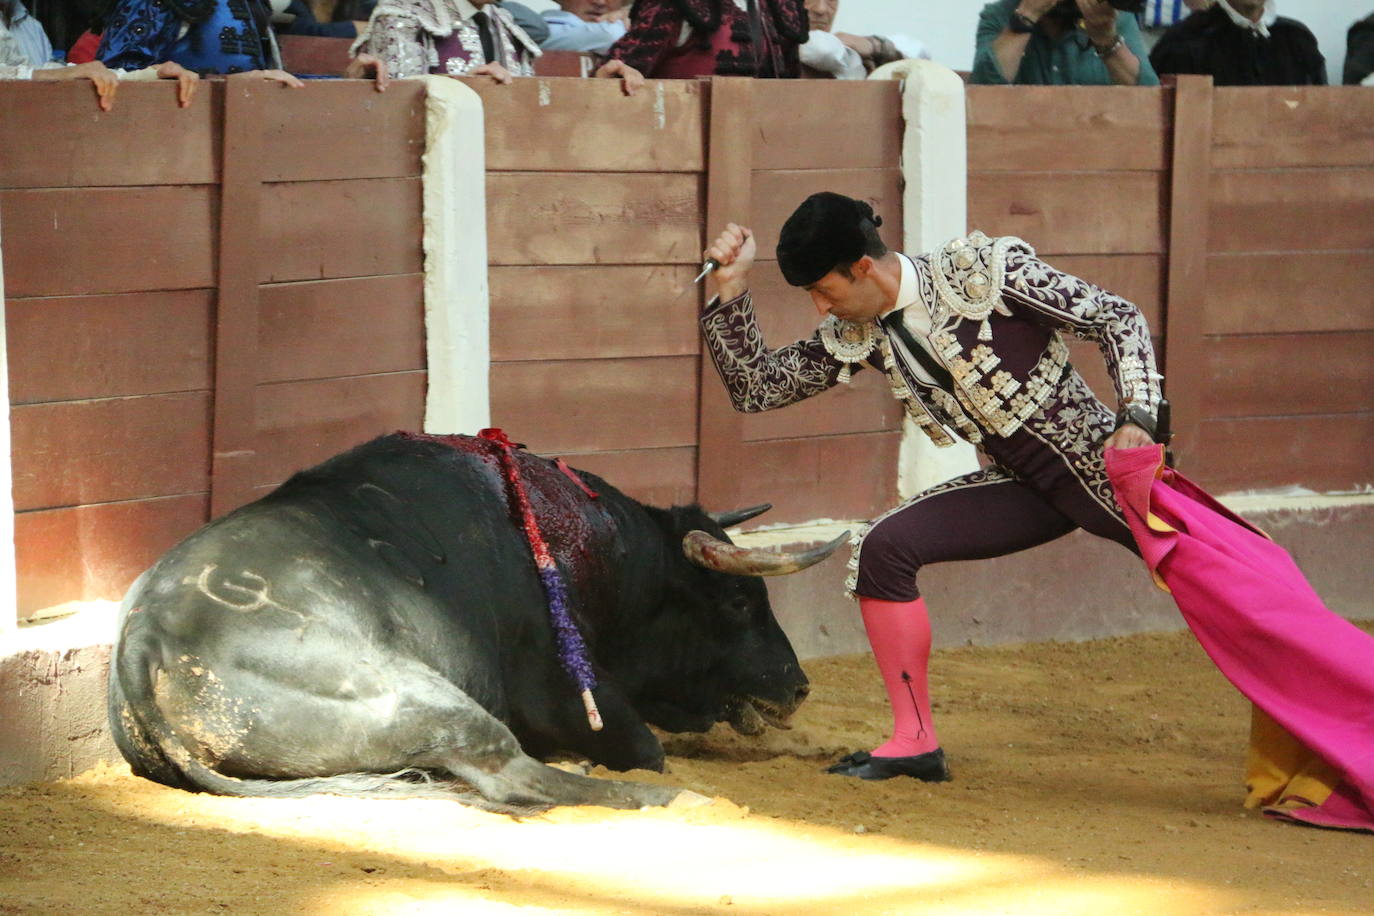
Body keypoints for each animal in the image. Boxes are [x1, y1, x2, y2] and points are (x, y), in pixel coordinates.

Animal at [107, 433, 840, 813]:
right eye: (738, 601)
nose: (798, 686)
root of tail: (142, 641)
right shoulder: (569, 691)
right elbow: (645, 747)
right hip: (423, 696)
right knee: (511, 773)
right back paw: (668, 799)